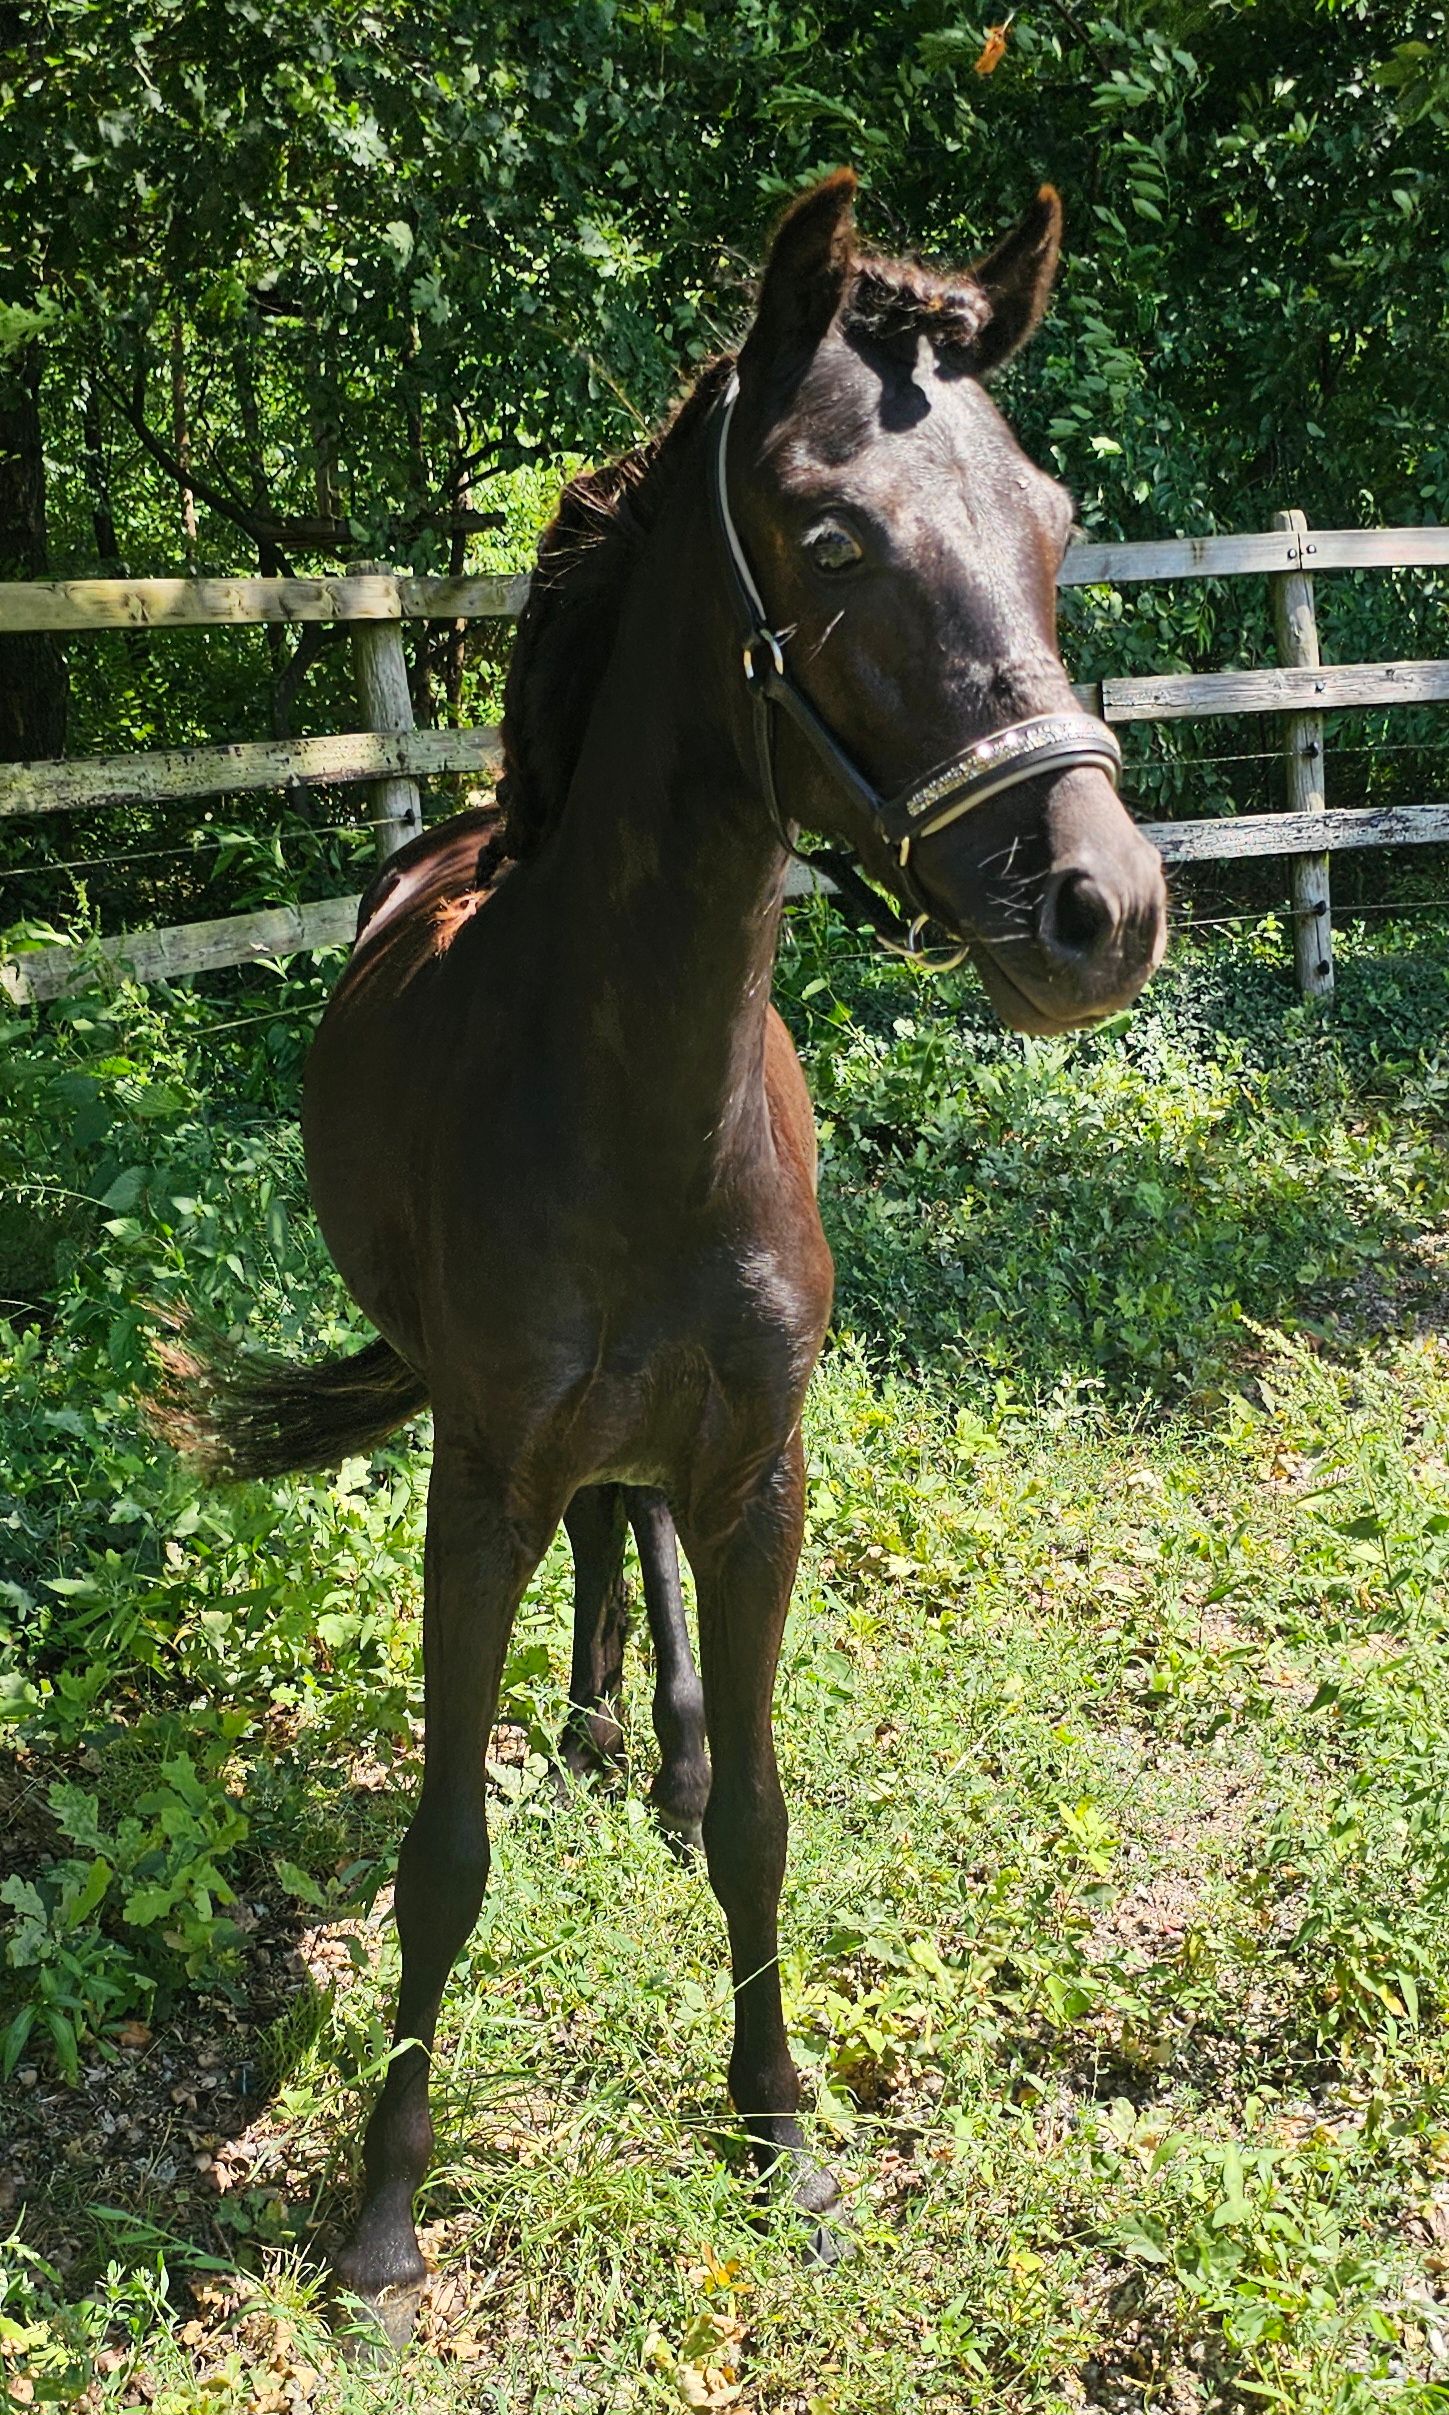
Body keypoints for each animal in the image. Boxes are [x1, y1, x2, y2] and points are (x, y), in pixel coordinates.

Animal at [155, 168, 1166, 2342]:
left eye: (1047, 520)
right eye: (830, 533)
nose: (1098, 909)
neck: (633, 1091)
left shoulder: (763, 1471)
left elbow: (772, 1824)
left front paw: (778, 2131)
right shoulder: (471, 1478)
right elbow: (441, 1855)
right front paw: (383, 2215)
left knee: (634, 1536)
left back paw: (657, 1743)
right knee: (600, 1533)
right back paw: (608, 1722)